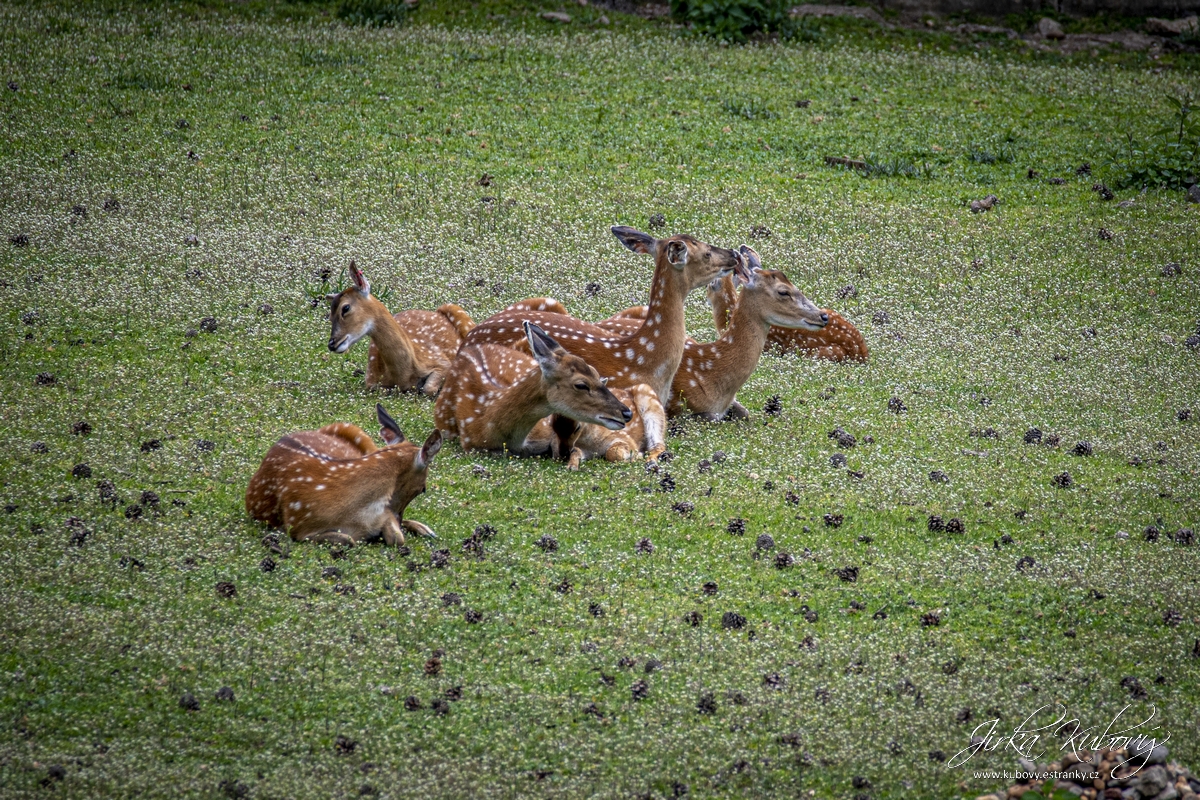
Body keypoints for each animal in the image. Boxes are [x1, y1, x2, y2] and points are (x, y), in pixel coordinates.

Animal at [246, 402, 444, 546]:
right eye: (423, 489)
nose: (399, 517)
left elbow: (397, 538)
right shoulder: (299, 527)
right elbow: (349, 540)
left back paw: (426, 530)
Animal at [331, 261, 480, 395]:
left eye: (345, 308)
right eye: (330, 313)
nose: (332, 343)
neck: (404, 375)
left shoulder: (441, 361)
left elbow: (429, 388)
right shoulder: (371, 380)